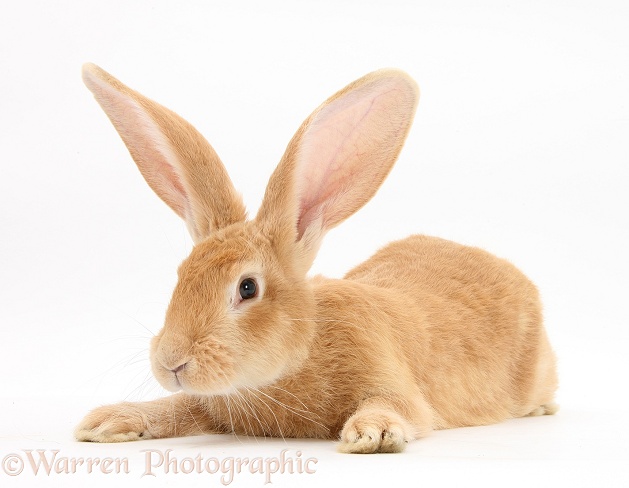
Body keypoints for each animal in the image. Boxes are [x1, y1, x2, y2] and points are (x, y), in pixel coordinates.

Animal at [76, 63, 556, 454]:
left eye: (247, 288)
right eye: (179, 276)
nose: (171, 363)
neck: (303, 348)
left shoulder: (392, 380)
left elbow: (395, 406)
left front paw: (372, 433)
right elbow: (177, 407)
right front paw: (108, 421)